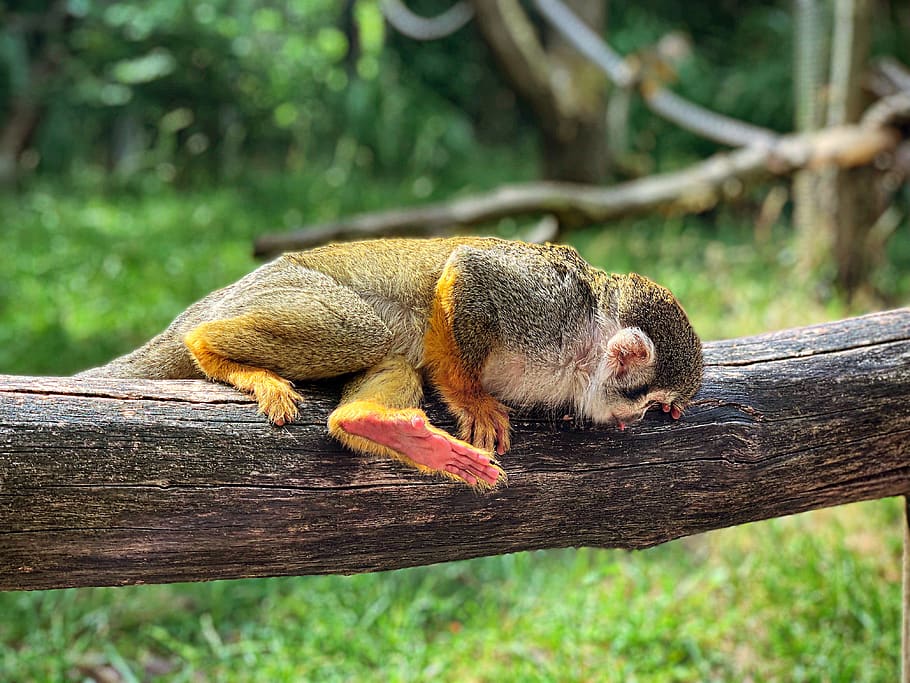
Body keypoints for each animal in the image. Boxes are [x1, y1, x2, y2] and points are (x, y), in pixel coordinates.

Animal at [78, 237, 703, 490]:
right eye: (650, 401)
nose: (634, 422)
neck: (583, 349)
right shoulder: (545, 308)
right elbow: (467, 273)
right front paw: (468, 396)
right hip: (282, 289)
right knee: (370, 330)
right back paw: (213, 349)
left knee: (392, 357)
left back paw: (376, 426)